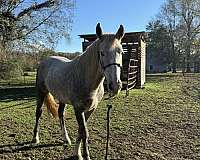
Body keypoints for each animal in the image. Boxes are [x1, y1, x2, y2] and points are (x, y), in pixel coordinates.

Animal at [32, 23, 124, 159]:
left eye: (121, 52)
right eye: (102, 53)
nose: (115, 85)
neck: (86, 79)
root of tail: (45, 61)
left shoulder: (90, 109)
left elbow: (81, 130)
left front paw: (77, 153)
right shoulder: (78, 109)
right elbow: (84, 132)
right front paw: (85, 155)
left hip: (62, 98)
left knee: (61, 113)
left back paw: (66, 138)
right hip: (41, 92)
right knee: (38, 113)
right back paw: (35, 138)